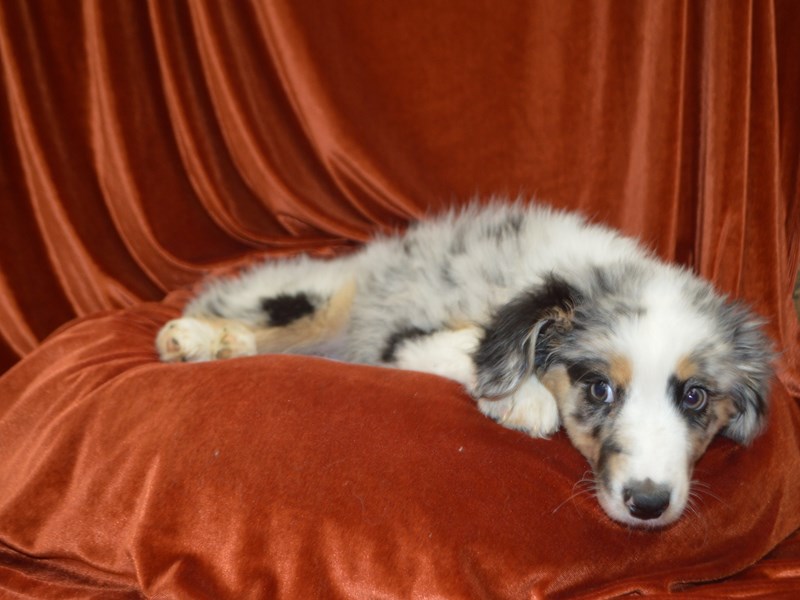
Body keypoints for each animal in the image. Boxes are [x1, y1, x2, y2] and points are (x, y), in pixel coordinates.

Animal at [156, 200, 776, 524]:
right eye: (599, 389)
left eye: (695, 396)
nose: (647, 503)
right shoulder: (407, 338)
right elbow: (474, 350)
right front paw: (525, 400)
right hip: (329, 299)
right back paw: (192, 337)